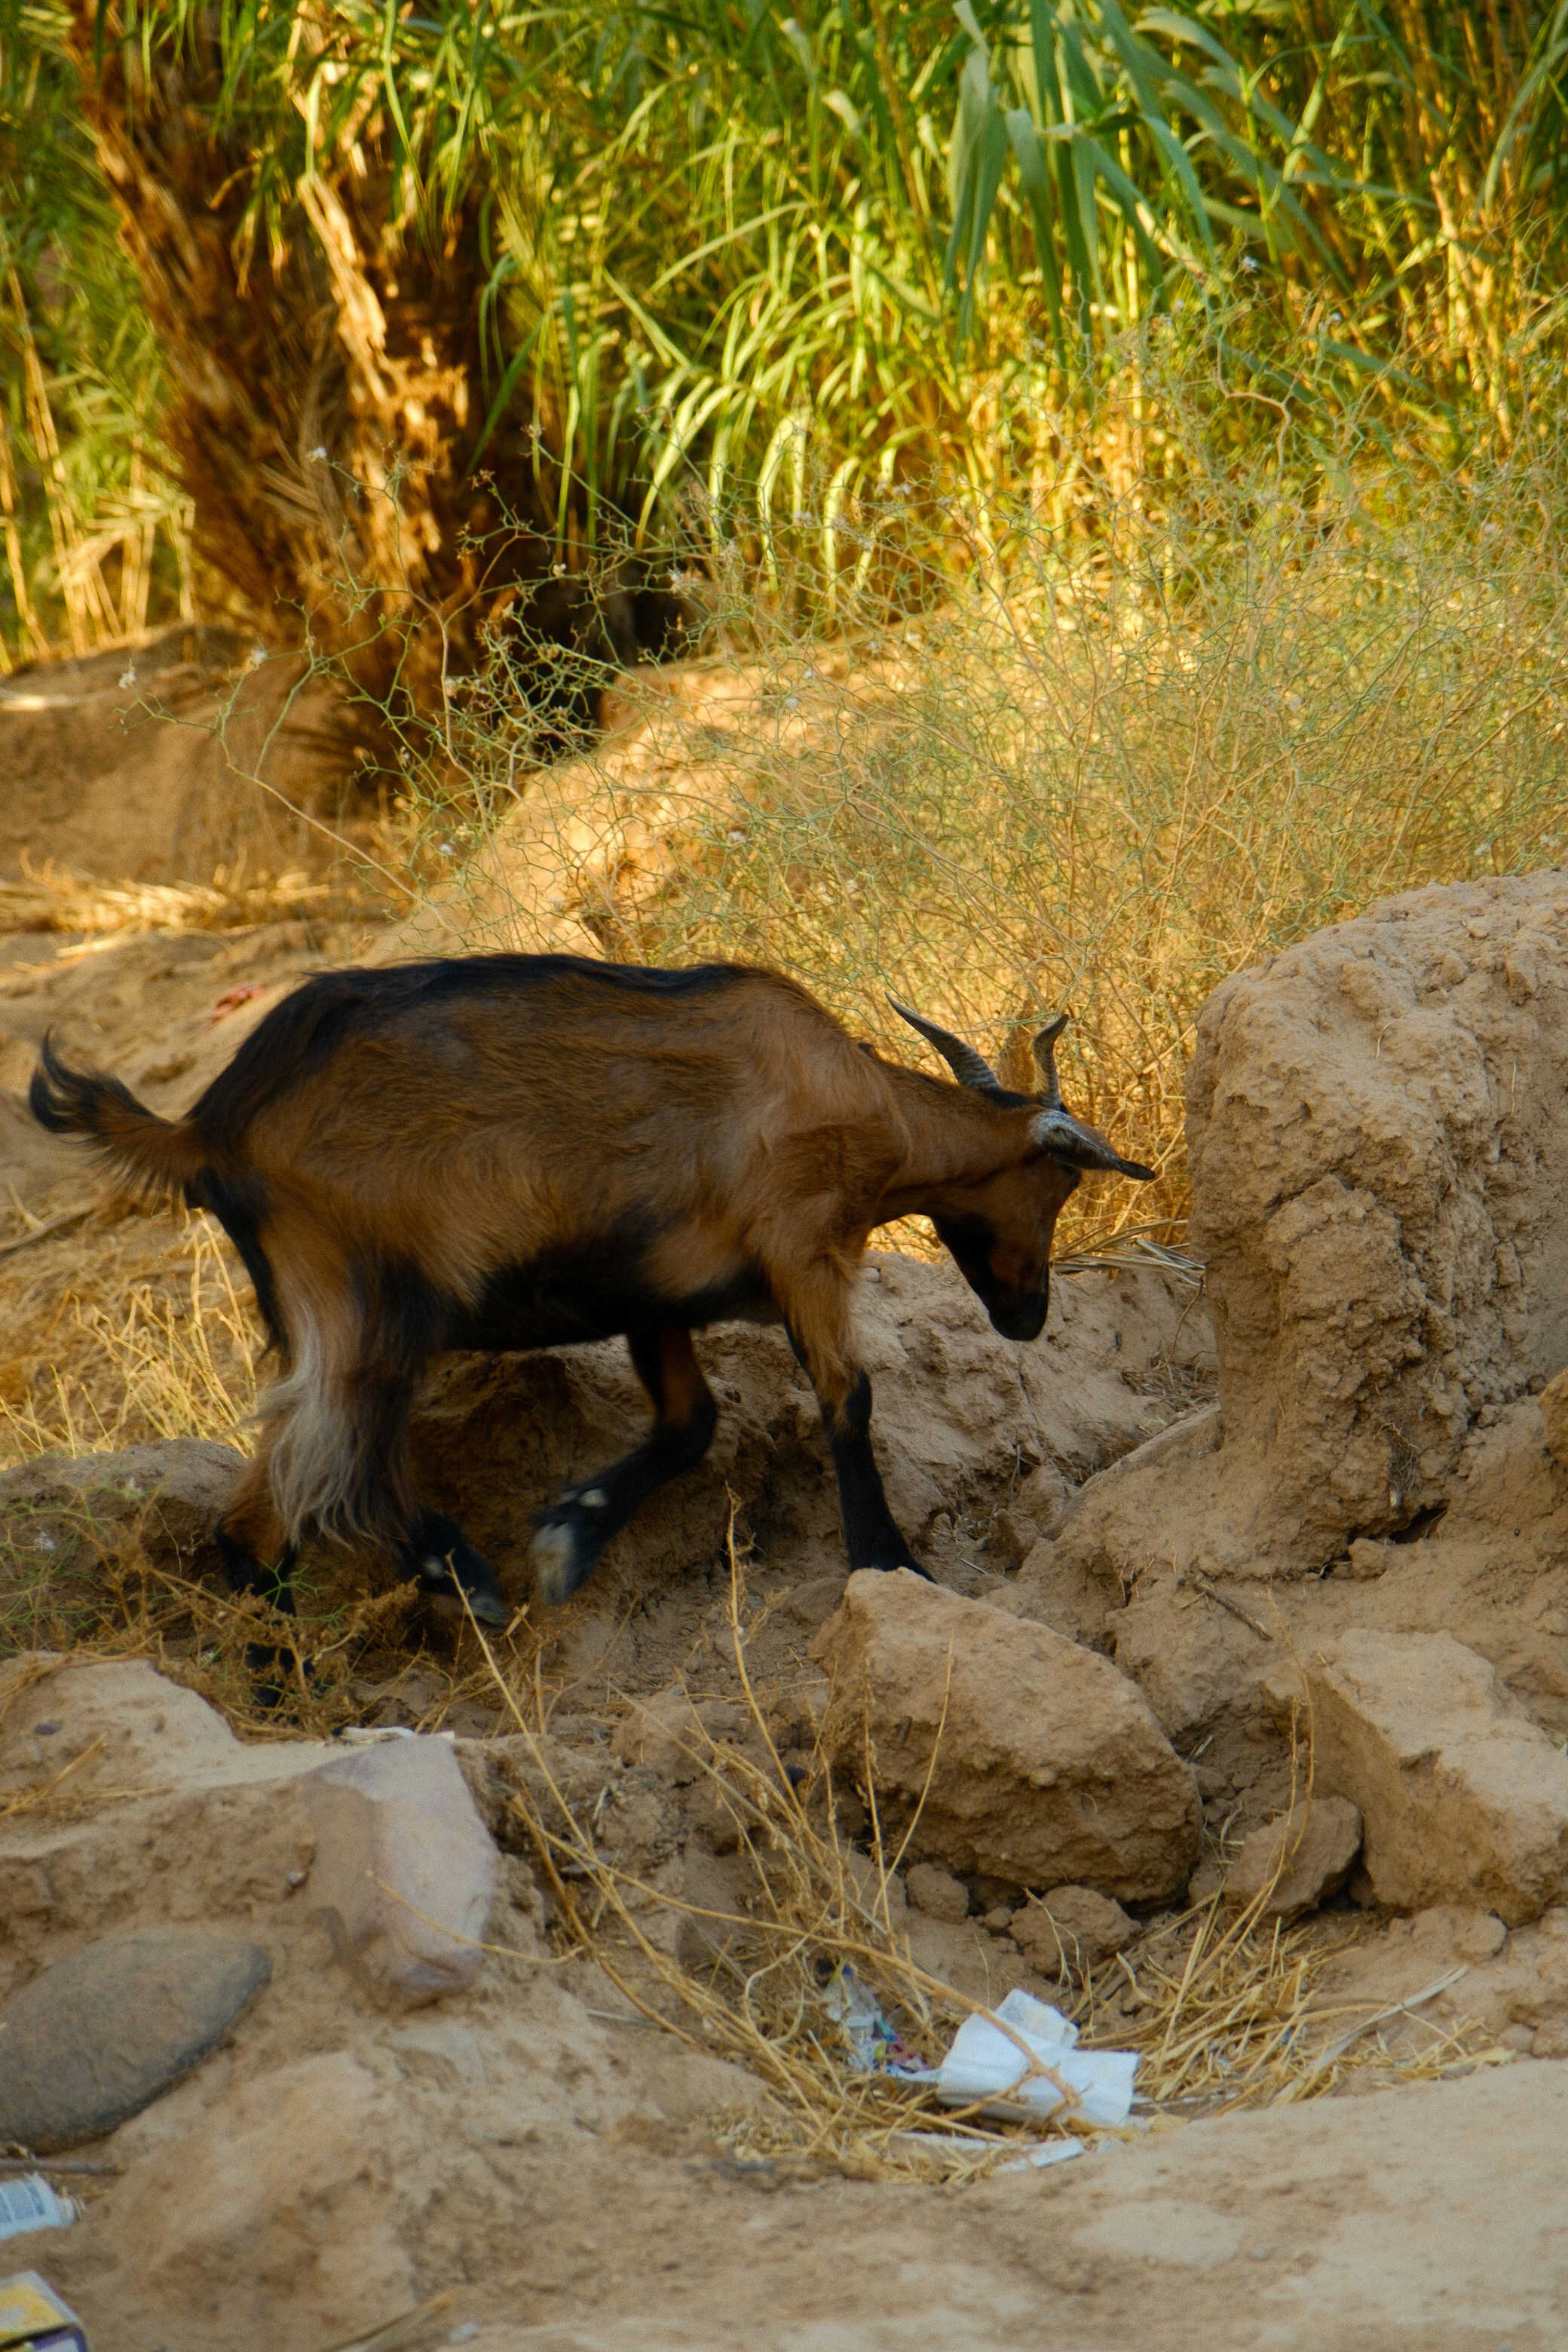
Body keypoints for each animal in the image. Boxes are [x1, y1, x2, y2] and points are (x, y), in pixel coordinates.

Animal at [30, 954, 1153, 1625]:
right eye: (1058, 1182)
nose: (1026, 1316)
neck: (863, 1101)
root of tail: (209, 1128)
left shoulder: (655, 1295)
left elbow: (692, 1424)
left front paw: (570, 1534)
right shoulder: (801, 1247)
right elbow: (848, 1397)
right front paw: (889, 1563)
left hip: (324, 1315)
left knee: (259, 1514)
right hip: (374, 1302)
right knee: (328, 1476)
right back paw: (457, 1574)